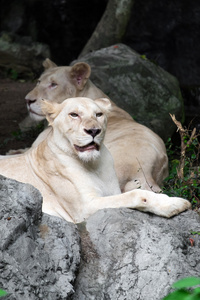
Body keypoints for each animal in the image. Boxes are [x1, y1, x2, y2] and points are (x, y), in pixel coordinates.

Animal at [0, 96, 191, 223]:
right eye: (74, 114)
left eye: (98, 114)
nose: (93, 131)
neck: (94, 165)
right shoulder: (82, 210)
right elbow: (137, 194)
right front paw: (174, 204)